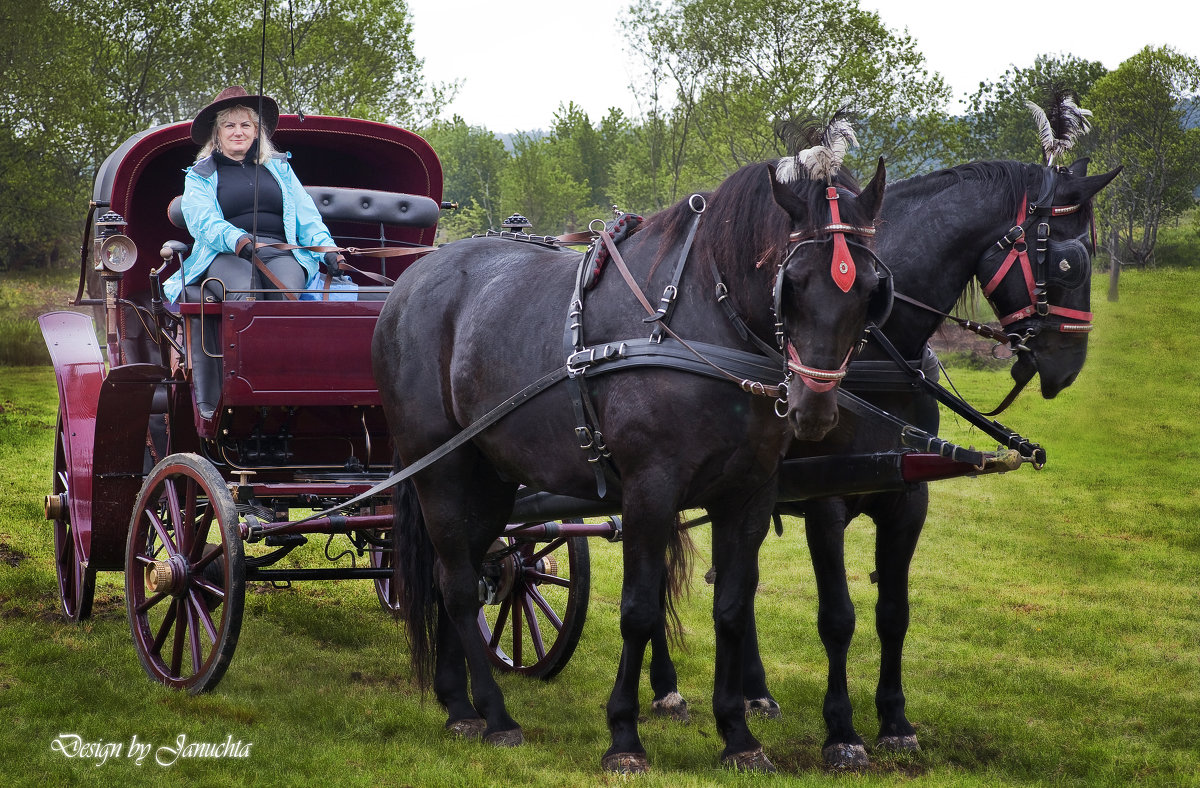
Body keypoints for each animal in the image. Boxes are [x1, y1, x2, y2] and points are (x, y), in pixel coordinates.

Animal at [374, 157, 892, 772]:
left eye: (871, 290)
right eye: (794, 284)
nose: (815, 409)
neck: (700, 322)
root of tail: (410, 281)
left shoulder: (749, 493)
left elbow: (731, 608)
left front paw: (738, 735)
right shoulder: (652, 488)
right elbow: (640, 610)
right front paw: (624, 735)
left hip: (490, 478)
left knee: (460, 575)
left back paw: (459, 704)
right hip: (441, 469)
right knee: (455, 586)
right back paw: (495, 716)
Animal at [643, 157, 1118, 767]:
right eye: (1067, 259)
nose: (1068, 365)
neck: (877, 352)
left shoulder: (908, 498)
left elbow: (894, 613)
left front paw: (894, 721)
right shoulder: (825, 502)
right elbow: (838, 618)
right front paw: (842, 733)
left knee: (737, 584)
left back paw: (755, 692)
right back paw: (666, 688)